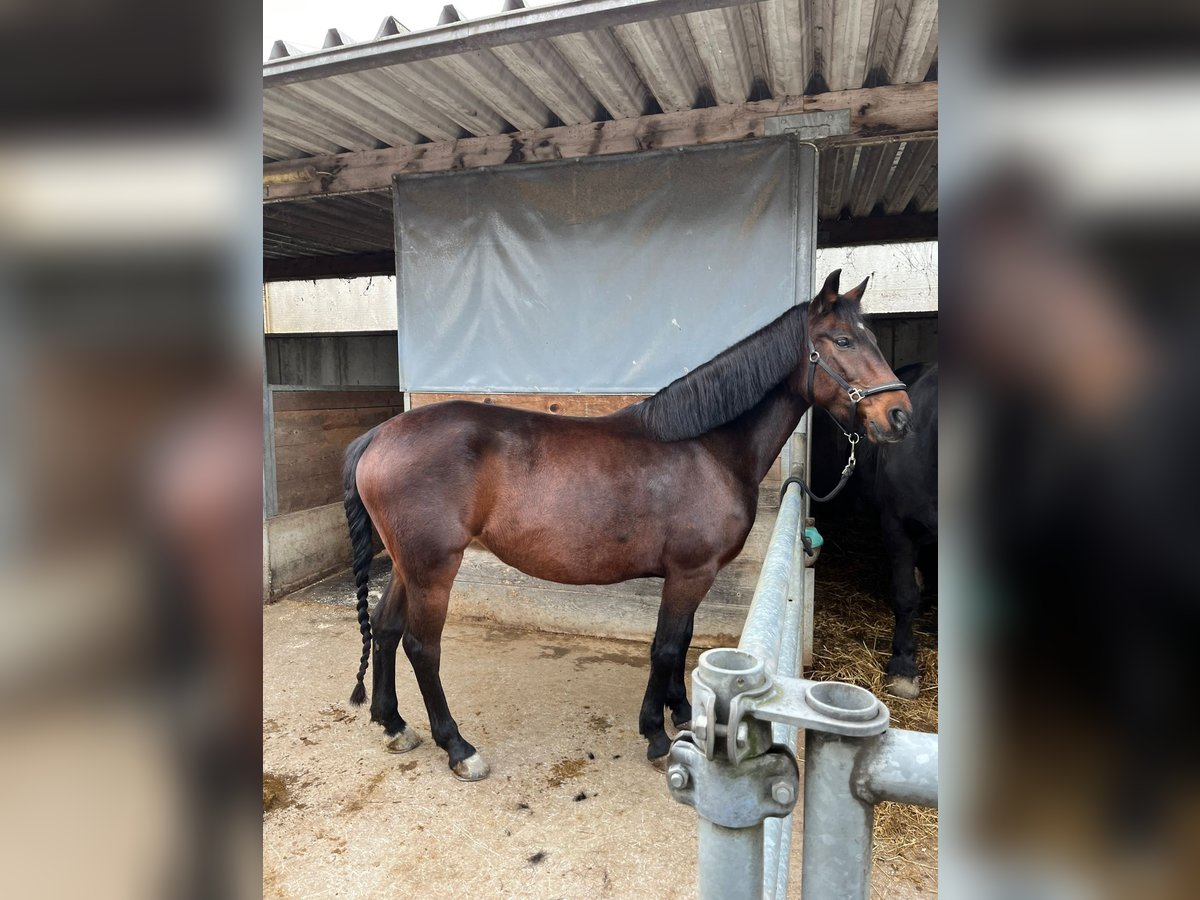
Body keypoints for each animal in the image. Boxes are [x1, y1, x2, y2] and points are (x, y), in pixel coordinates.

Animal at [338, 270, 907, 782]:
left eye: (872, 339)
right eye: (842, 340)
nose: (899, 415)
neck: (706, 448)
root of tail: (379, 436)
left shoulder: (689, 575)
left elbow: (682, 640)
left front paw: (681, 713)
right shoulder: (691, 572)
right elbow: (667, 646)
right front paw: (657, 735)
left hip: (408, 565)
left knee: (385, 630)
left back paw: (394, 724)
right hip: (434, 567)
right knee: (421, 646)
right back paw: (458, 747)